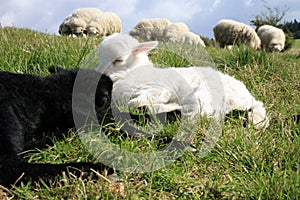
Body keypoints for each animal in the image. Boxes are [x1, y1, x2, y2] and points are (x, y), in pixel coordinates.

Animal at [96, 32, 270, 130]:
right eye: (100, 56)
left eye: (119, 60)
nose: (99, 71)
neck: (130, 72)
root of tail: (247, 97)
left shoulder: (160, 89)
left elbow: (135, 102)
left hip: (205, 93)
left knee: (202, 113)